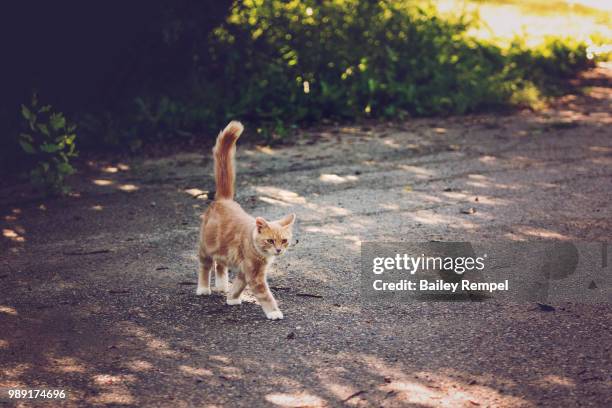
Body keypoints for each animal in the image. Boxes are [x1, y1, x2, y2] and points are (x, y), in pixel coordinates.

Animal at [197, 119, 296, 320]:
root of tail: (224, 200)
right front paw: (274, 312)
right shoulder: (254, 274)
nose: (279, 250)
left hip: (223, 249)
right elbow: (265, 294)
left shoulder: (245, 271)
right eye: (270, 240)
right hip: (206, 246)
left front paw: (232, 298)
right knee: (206, 265)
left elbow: (239, 285)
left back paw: (221, 285)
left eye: (284, 240)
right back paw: (203, 288)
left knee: (220, 264)